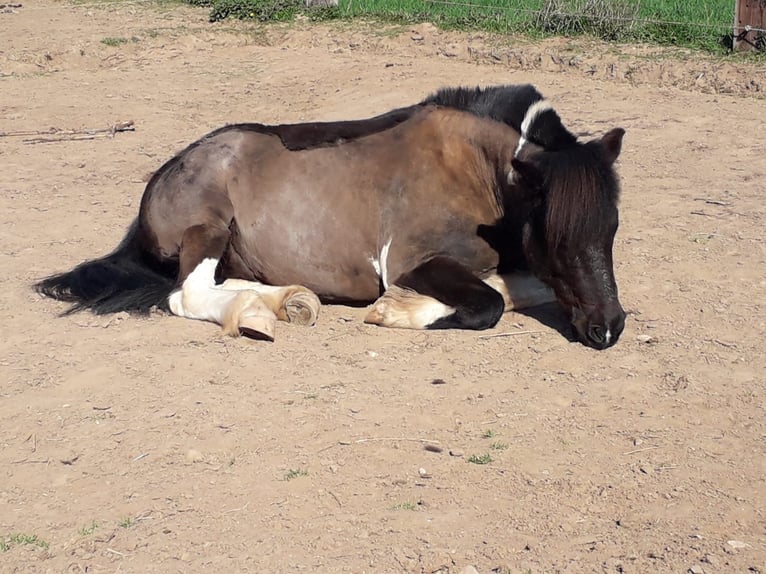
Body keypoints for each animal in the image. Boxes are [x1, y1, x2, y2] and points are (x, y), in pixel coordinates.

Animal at [33, 83, 628, 348]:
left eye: (613, 228)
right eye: (553, 233)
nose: (608, 328)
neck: (476, 171)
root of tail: (169, 168)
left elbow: (526, 287)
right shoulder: (410, 259)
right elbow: (487, 305)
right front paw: (394, 311)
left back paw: (288, 301)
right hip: (208, 227)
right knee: (187, 294)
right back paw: (255, 314)